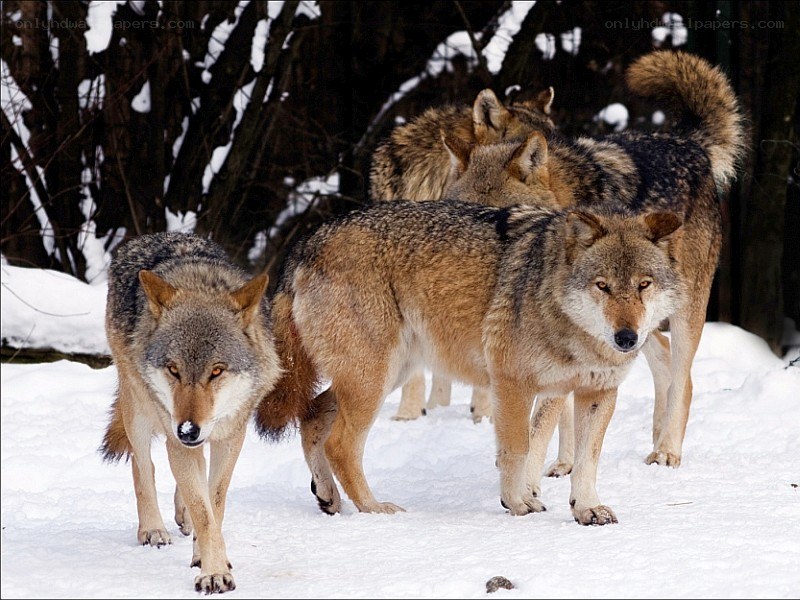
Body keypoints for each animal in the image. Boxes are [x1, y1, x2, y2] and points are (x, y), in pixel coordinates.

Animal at [100, 232, 281, 594]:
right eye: (174, 370)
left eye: (217, 371)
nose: (188, 430)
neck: (198, 284)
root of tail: (150, 237)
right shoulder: (177, 440)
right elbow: (204, 511)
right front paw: (214, 572)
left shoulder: (231, 437)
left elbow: (213, 502)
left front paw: (206, 556)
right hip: (138, 409)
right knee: (144, 467)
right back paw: (152, 530)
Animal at [254, 200, 682, 525]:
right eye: (603, 286)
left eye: (643, 285)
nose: (626, 338)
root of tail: (308, 242)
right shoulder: (512, 384)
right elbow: (517, 448)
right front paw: (517, 503)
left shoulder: (596, 392)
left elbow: (586, 459)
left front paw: (587, 509)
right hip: (372, 382)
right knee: (341, 444)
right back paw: (374, 509)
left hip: (384, 376)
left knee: (312, 415)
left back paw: (329, 498)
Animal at [441, 50, 746, 480]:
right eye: (463, 215)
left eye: (501, 214)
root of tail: (688, 143)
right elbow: (565, 408)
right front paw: (564, 464)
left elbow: (548, 413)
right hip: (634, 322)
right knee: (663, 358)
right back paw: (654, 439)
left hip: (681, 309)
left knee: (683, 378)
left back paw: (667, 450)